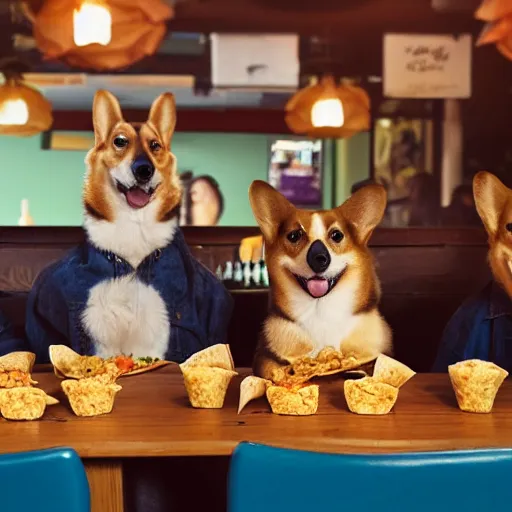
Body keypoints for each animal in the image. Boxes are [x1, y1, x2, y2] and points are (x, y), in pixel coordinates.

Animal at [248, 182, 392, 382]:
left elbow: (371, 361)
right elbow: (270, 366)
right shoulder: (266, 353)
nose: (319, 258)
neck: (320, 310)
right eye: (294, 236)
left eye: (337, 235)